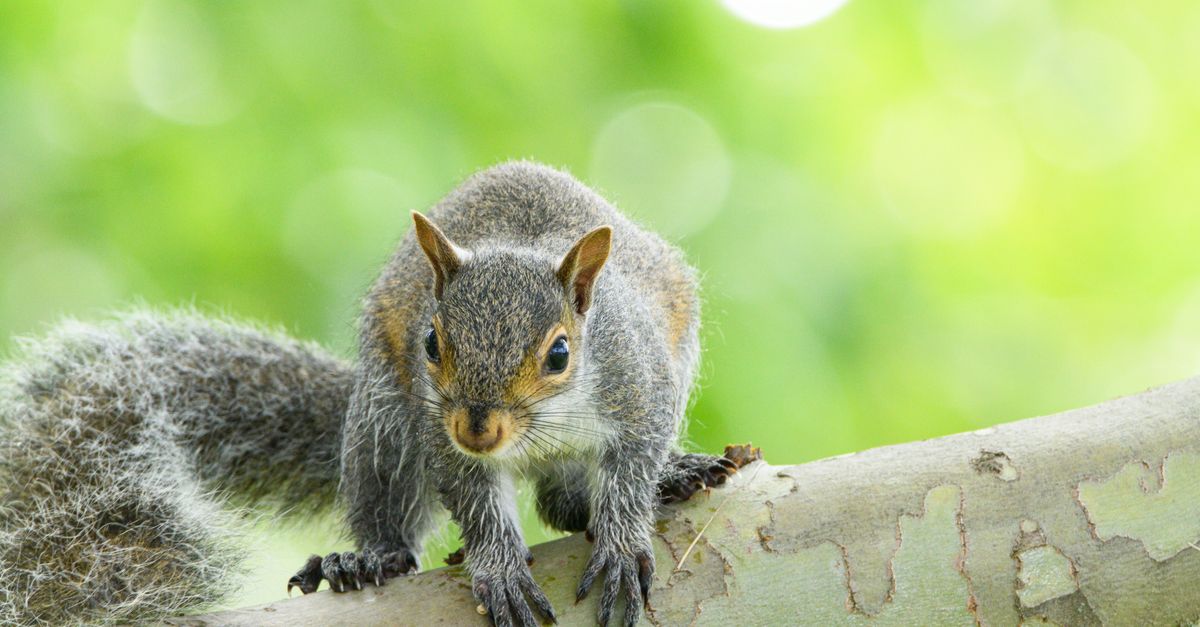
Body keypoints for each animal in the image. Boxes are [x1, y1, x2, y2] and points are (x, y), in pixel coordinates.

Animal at [0, 162, 752, 626]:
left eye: (561, 353)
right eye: (432, 343)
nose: (478, 429)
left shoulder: (640, 387)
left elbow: (630, 469)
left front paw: (623, 543)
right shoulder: (437, 429)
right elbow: (475, 502)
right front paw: (499, 567)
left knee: (566, 501)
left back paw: (674, 476)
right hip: (385, 424)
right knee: (406, 501)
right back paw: (368, 557)